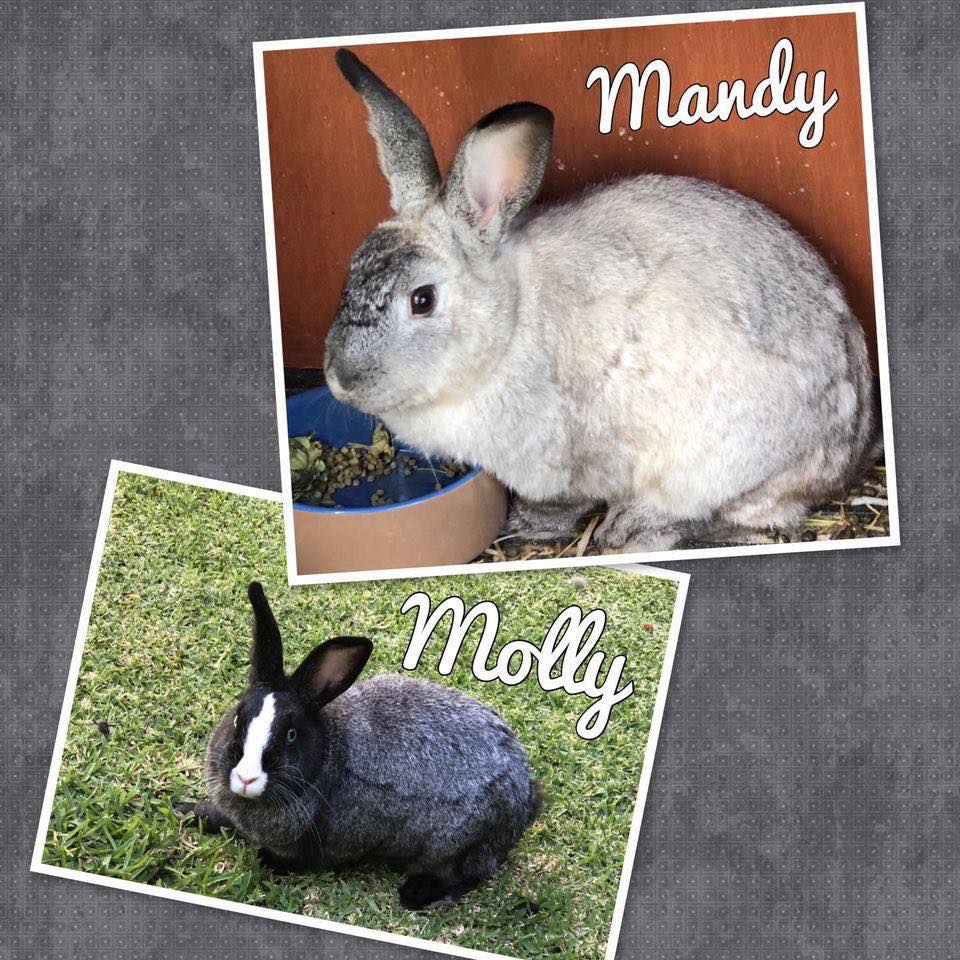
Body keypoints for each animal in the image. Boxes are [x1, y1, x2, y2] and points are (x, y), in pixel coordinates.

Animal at [176, 582, 541, 909]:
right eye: (239, 718)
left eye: (291, 735)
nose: (245, 778)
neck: (326, 756)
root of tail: (524, 798)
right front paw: (186, 811)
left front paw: (265, 860)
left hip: (456, 845)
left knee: (467, 874)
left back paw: (416, 895)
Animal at [322, 48, 877, 552]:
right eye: (350, 268)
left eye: (422, 299)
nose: (339, 378)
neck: (511, 325)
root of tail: (850, 447)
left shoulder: (566, 461)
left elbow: (560, 503)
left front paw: (525, 525)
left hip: (727, 461)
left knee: (736, 513)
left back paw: (632, 529)